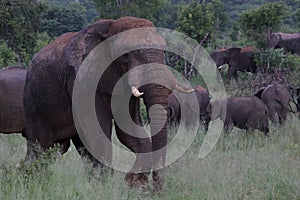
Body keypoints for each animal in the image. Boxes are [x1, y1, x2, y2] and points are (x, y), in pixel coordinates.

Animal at [22, 16, 192, 191]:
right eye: (127, 53)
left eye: (164, 49)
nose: (156, 192)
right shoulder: (83, 81)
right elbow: (99, 130)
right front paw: (108, 187)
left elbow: (128, 130)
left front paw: (135, 185)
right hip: (34, 103)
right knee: (40, 146)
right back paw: (31, 183)